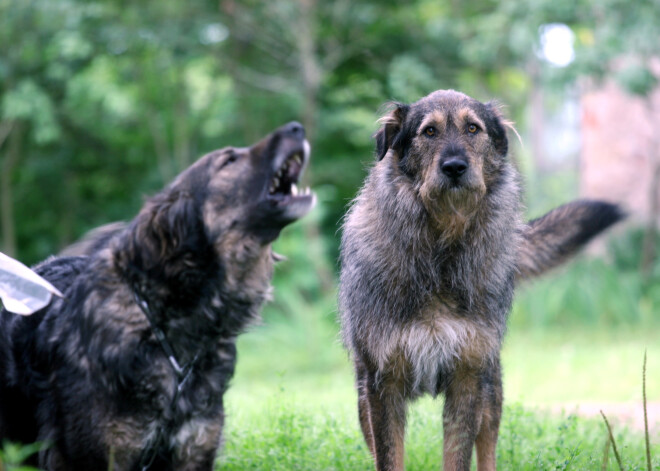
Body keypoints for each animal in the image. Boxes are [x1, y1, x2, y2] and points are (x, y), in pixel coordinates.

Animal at [338, 90, 620, 470]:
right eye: (429, 131)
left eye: (473, 128)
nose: (455, 167)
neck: (442, 253)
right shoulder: (382, 383)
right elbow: (389, 457)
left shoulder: (468, 378)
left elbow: (458, 456)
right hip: (363, 398)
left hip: (492, 388)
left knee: (487, 449)